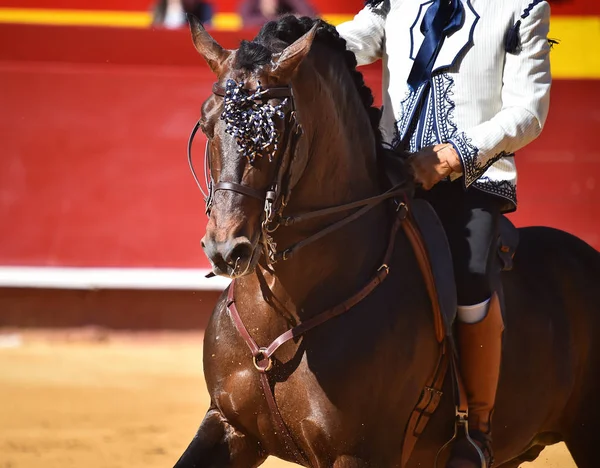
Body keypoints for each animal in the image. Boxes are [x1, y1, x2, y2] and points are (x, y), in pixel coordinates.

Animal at [176, 15, 600, 468]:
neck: (286, 311)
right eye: (207, 123)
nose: (225, 248)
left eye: (274, 130)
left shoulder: (358, 453)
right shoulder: (231, 427)